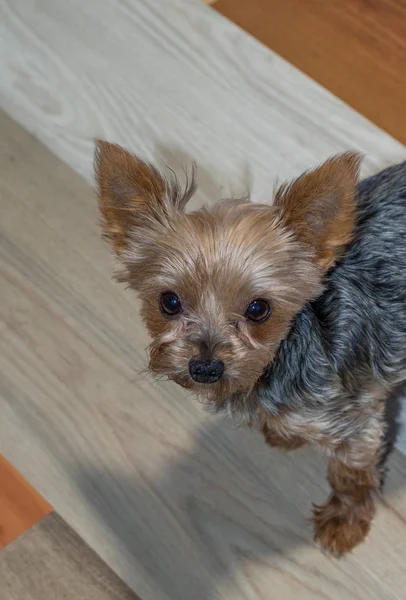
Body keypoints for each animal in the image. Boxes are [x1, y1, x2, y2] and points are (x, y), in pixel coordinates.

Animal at [93, 142, 406, 556]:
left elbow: (350, 474)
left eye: (259, 309)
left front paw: (344, 522)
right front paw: (284, 434)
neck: (276, 363)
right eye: (169, 302)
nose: (205, 368)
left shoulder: (355, 421)